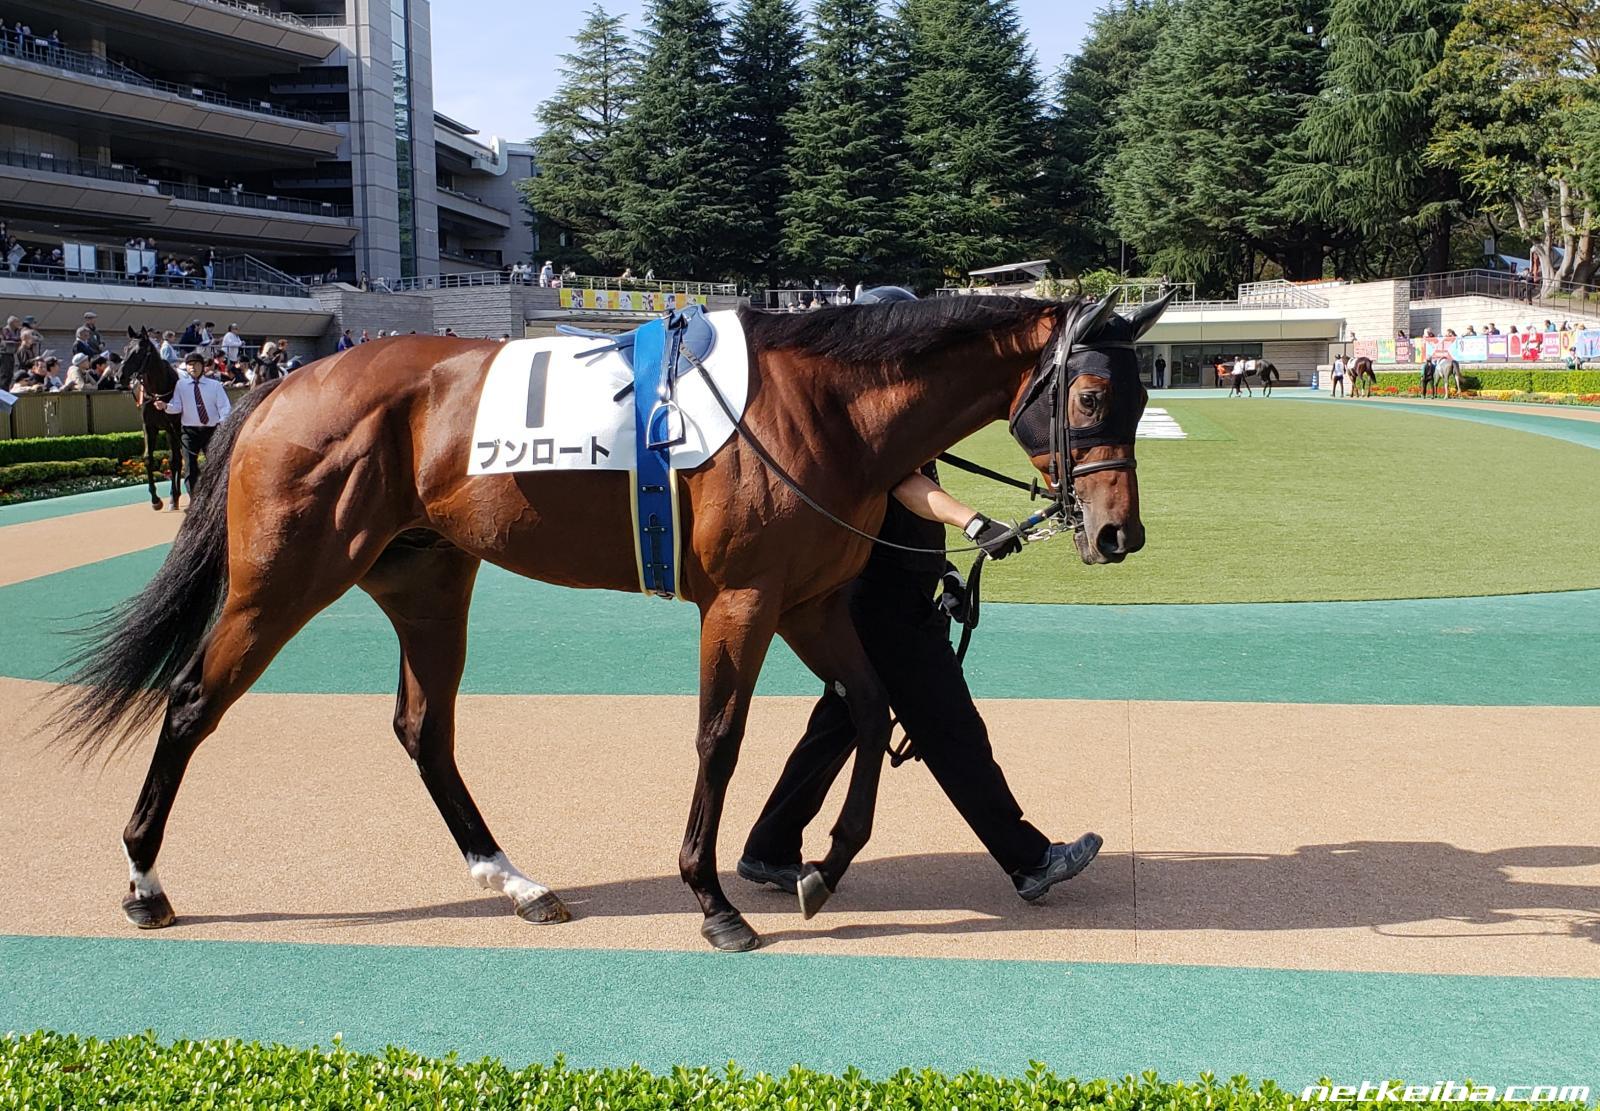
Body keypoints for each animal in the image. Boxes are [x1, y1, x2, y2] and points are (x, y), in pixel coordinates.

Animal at [119, 329, 183, 510]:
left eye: (139, 352)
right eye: (125, 349)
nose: (120, 376)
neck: (157, 392)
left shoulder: (173, 426)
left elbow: (173, 460)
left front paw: (173, 496)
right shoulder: (149, 426)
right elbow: (148, 458)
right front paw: (155, 499)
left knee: (179, 459)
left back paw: (175, 496)